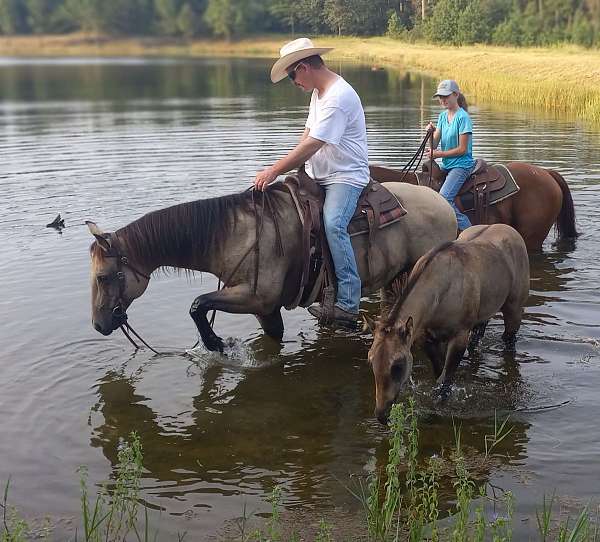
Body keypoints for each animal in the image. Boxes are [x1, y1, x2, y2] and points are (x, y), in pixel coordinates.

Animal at [88, 182, 454, 352]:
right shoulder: (264, 309)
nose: (98, 325)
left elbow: (197, 304)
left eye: (104, 277)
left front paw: (215, 343)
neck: (234, 234)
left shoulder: (254, 297)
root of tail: (445, 205)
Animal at [364, 225, 528, 424]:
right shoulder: (428, 338)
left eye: (398, 365)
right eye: (371, 361)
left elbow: (445, 382)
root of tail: (512, 231)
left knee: (509, 342)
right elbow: (439, 372)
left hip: (514, 311)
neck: (440, 291)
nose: (381, 414)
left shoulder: (459, 337)